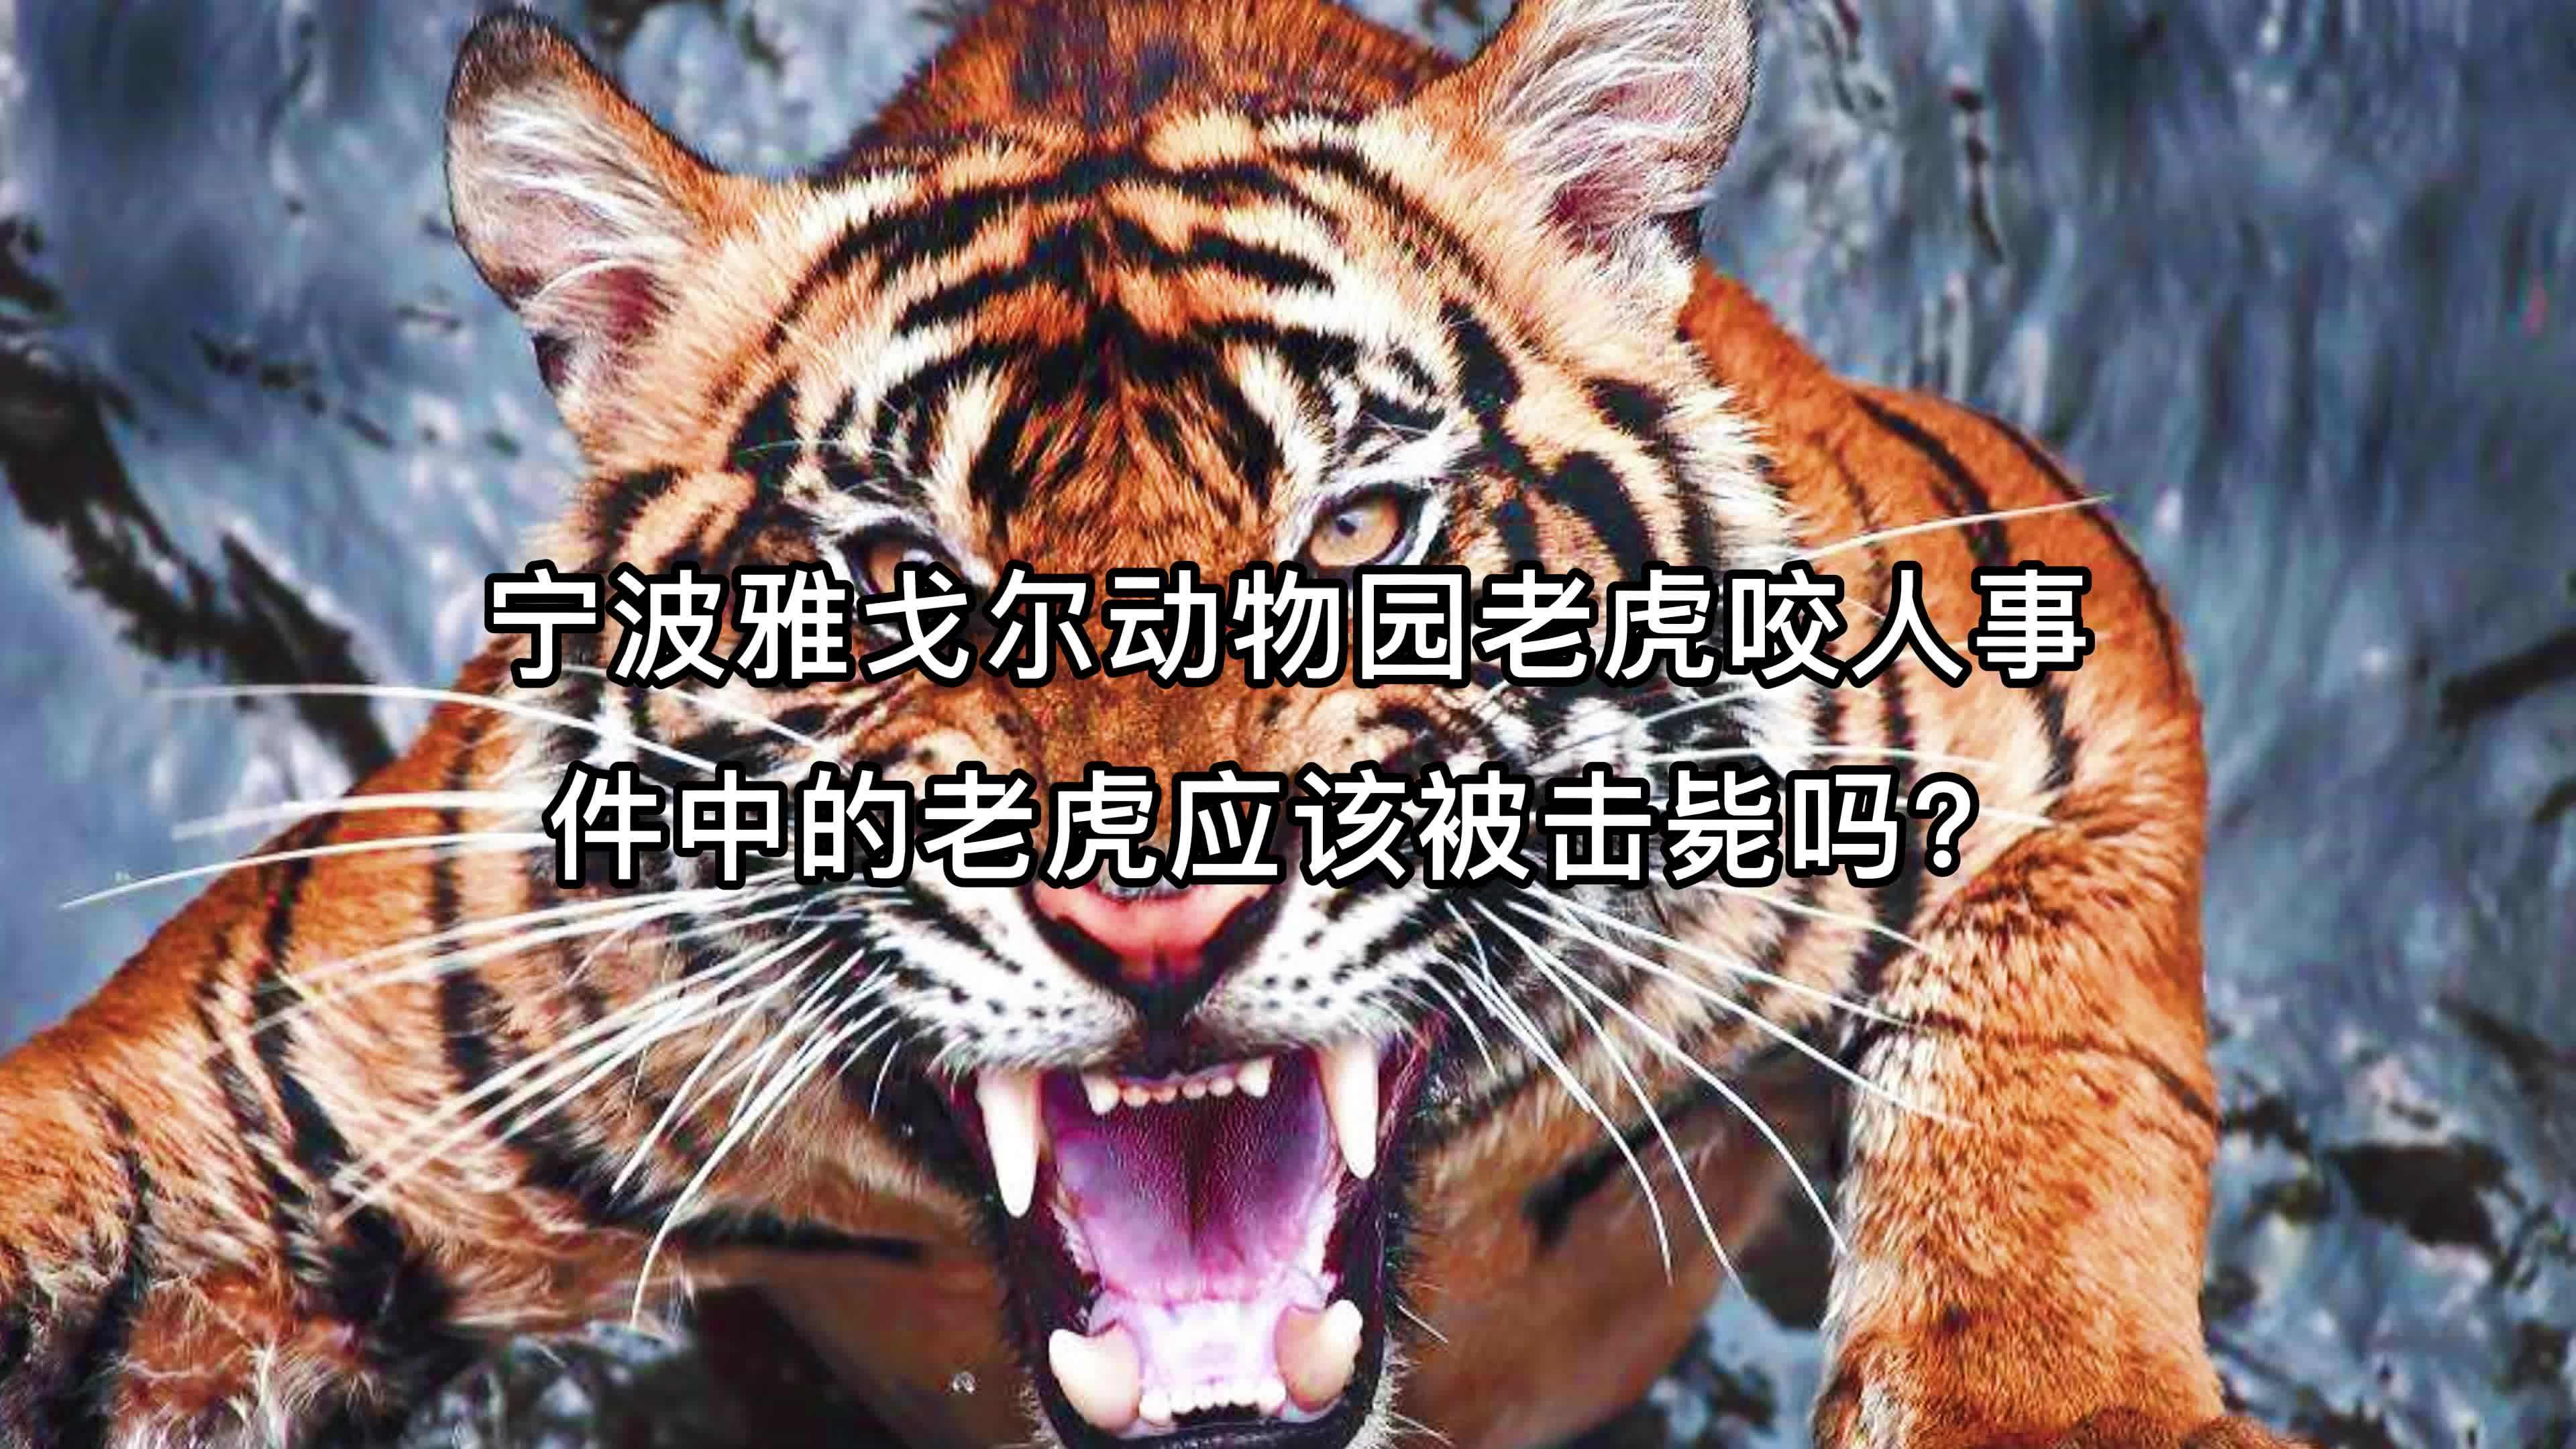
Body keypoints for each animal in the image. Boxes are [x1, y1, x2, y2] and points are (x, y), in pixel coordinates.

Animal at [0, 1, 2314, 1446]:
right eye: (898, 574)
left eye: (1357, 525)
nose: (1154, 927)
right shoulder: (262, 1106)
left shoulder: (2035, 627)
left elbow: (2049, 1078)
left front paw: (2051, 1408)